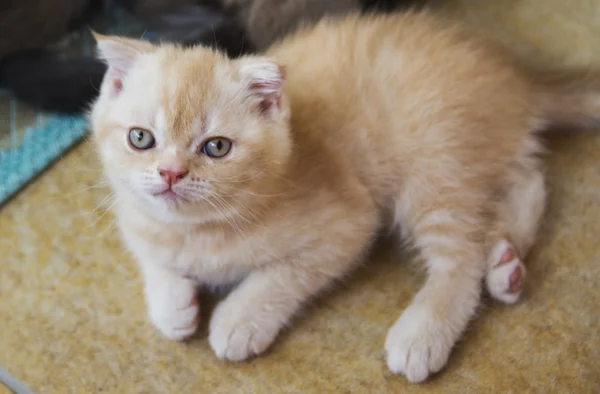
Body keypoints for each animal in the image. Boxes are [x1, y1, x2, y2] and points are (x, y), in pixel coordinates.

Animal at [89, 10, 600, 384]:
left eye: (216, 147)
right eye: (140, 139)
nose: (171, 173)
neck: (196, 230)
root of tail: (516, 74)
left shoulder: (348, 223)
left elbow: (282, 275)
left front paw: (241, 318)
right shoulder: (137, 219)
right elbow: (151, 257)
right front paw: (172, 304)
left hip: (434, 167)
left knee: (462, 258)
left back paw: (424, 331)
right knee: (529, 177)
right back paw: (506, 263)